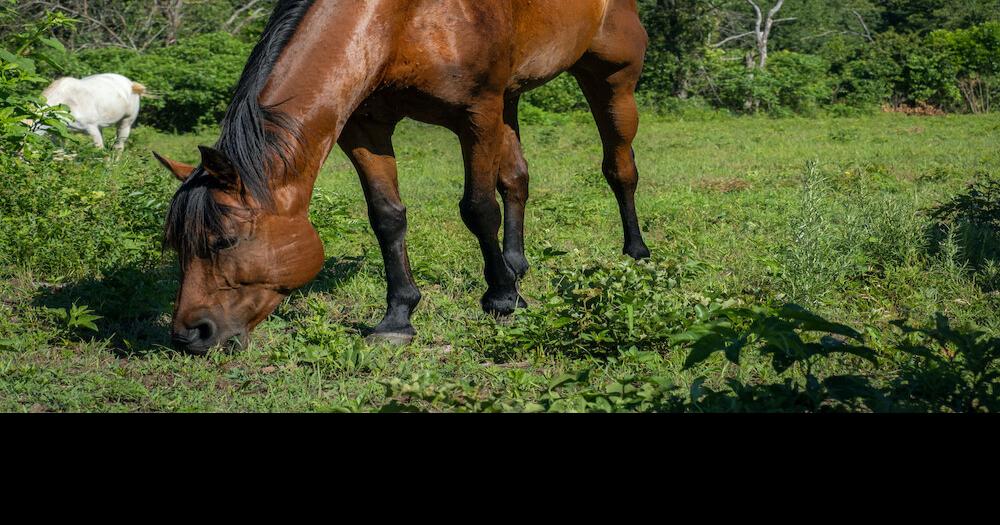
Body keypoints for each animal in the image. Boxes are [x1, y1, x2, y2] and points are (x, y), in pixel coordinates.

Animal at [153, 0, 651, 354]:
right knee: (516, 180)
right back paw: (516, 266)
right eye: (176, 244)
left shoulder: (475, 114)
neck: (401, 21)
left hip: (611, 78)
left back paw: (635, 254)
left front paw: (501, 300)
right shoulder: (366, 128)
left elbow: (478, 209)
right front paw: (398, 317)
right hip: (509, 98)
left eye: (224, 241)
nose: (189, 335)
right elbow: (387, 216)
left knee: (619, 168)